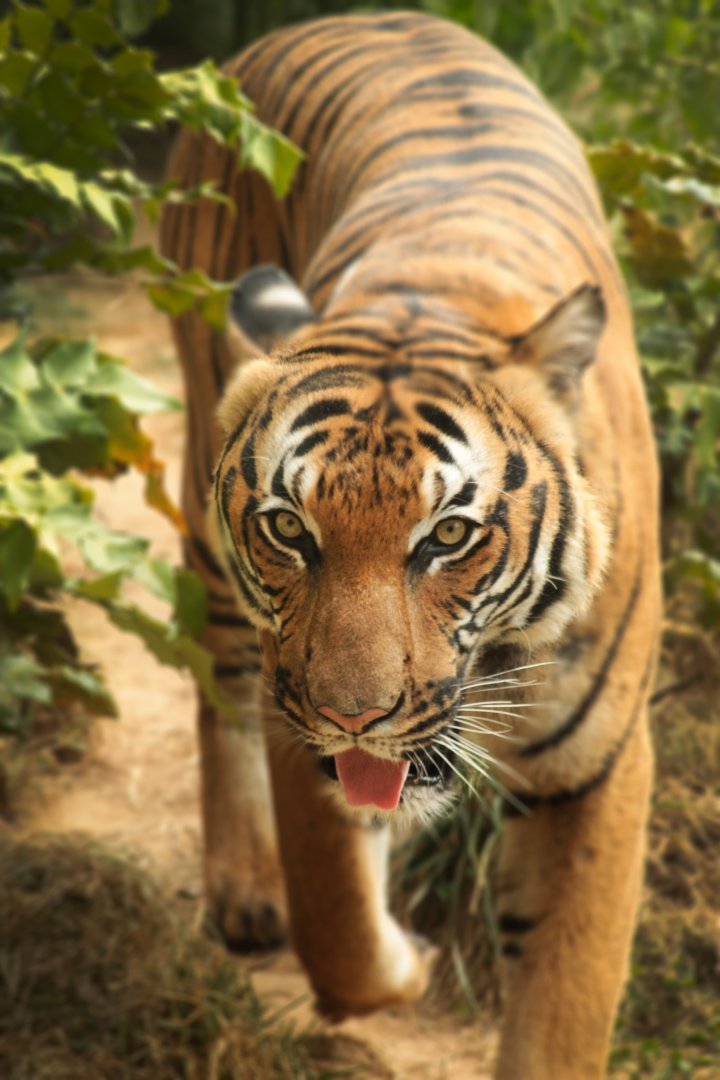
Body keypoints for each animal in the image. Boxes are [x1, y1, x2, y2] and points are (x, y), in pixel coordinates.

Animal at [160, 12, 660, 1079]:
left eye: (450, 537)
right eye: (288, 527)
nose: (354, 717)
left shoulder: (597, 765)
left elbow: (566, 1001)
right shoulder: (294, 712)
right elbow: (339, 927)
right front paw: (405, 964)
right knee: (215, 681)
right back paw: (245, 887)